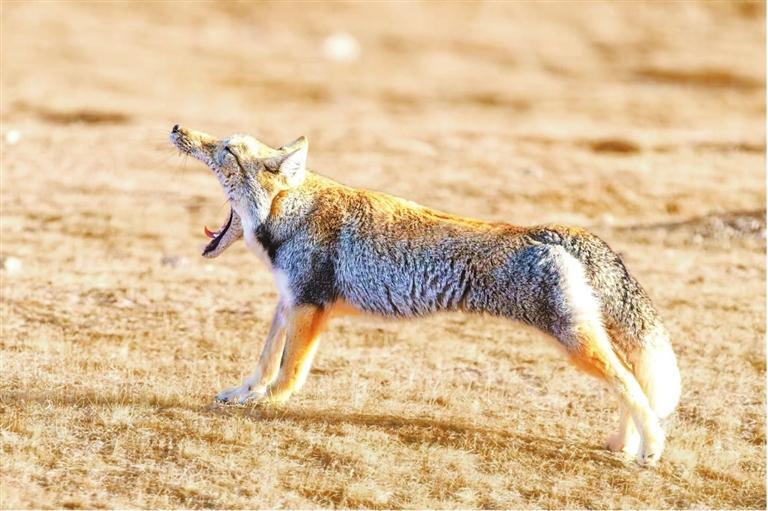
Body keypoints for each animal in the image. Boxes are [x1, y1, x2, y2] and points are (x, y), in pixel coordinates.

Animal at [169, 124, 681, 466]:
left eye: (225, 150)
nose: (177, 128)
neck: (293, 212)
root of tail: (549, 230)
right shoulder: (288, 302)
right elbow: (263, 362)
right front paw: (243, 393)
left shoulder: (309, 307)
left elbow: (287, 374)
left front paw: (267, 405)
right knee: (631, 382)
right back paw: (626, 444)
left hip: (576, 343)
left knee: (631, 384)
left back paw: (651, 448)